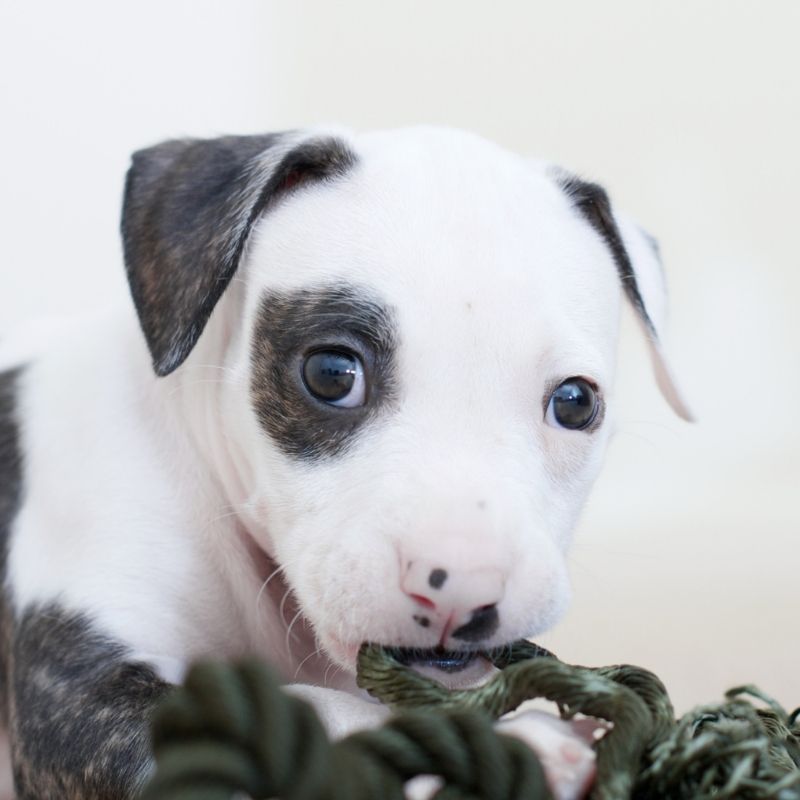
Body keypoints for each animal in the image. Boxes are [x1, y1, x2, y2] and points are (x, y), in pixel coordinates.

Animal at [0, 128, 692, 796]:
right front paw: (515, 742)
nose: (462, 588)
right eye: (331, 373)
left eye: (575, 402)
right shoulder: (78, 702)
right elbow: (300, 711)